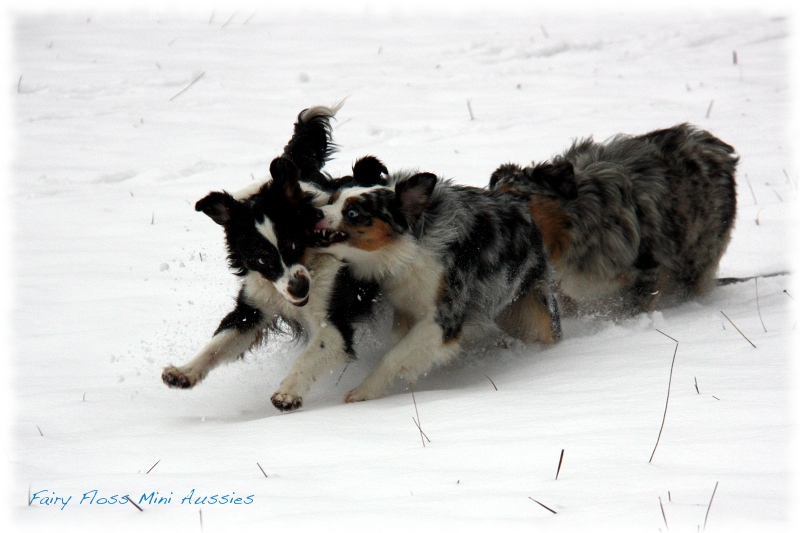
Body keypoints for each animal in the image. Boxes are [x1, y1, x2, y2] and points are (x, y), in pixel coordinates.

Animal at [162, 105, 382, 412]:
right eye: (262, 259)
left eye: (294, 243)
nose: (300, 289)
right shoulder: (254, 305)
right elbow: (218, 343)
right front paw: (182, 373)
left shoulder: (335, 318)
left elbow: (311, 354)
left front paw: (288, 393)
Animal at [312, 168, 564, 402]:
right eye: (332, 199)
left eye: (353, 213)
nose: (314, 212)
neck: (410, 248)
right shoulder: (405, 306)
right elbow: (400, 341)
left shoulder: (444, 316)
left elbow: (395, 355)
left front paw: (365, 390)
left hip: (535, 313)